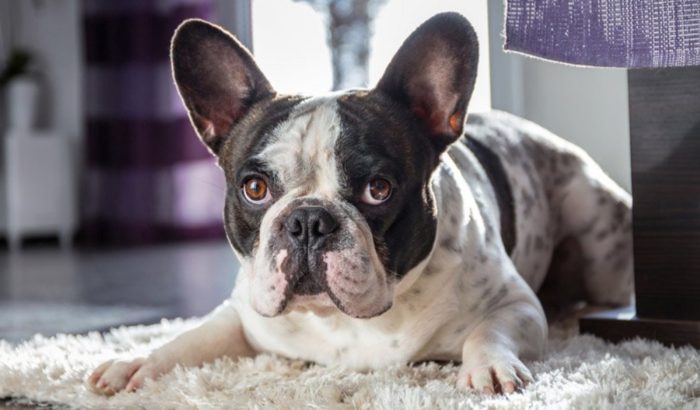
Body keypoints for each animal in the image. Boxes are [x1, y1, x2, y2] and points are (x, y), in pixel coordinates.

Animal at [87, 12, 633, 395]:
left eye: (378, 189)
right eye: (255, 189)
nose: (308, 220)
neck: (343, 322)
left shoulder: (515, 304)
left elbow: (488, 331)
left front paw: (492, 368)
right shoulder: (241, 313)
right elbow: (192, 338)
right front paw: (137, 362)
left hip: (598, 240)